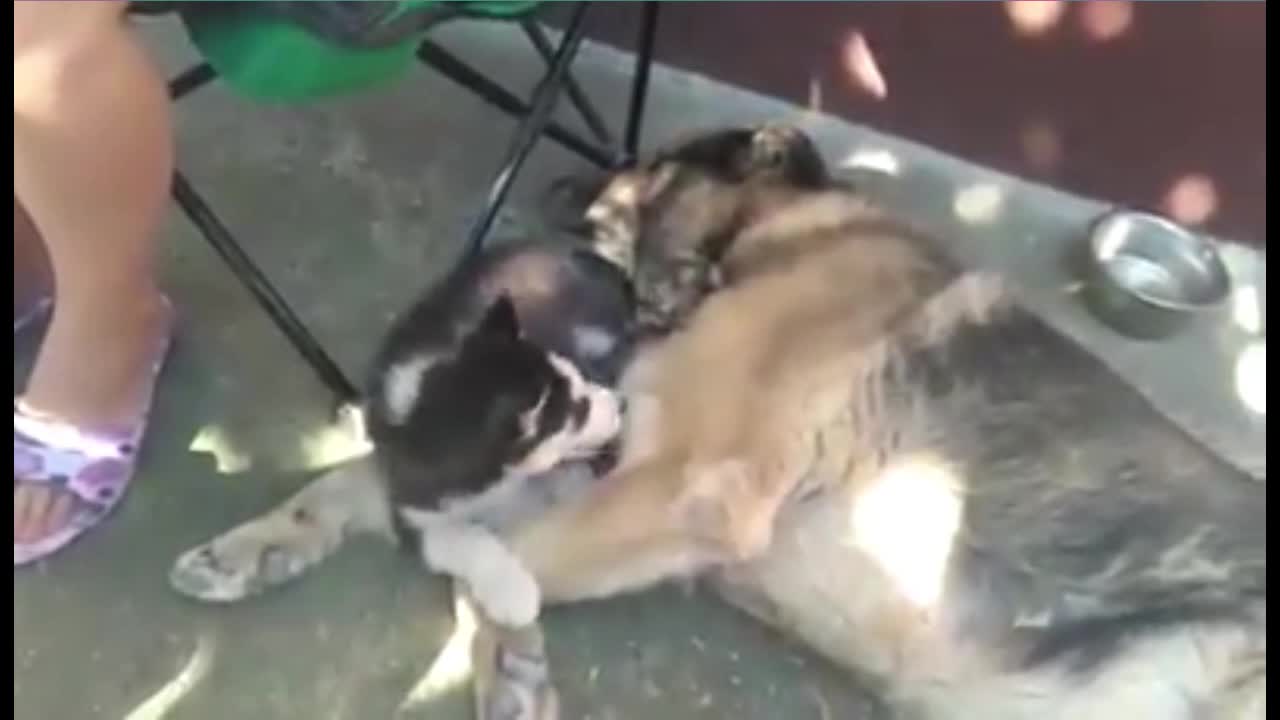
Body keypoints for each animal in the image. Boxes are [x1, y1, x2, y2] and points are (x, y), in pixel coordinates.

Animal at [167, 124, 1259, 717]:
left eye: (652, 162)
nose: (564, 182)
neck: (761, 243)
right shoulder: (606, 462)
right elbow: (369, 482)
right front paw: (255, 545)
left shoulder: (679, 480)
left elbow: (491, 567)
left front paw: (507, 656)